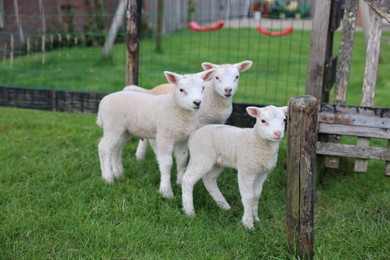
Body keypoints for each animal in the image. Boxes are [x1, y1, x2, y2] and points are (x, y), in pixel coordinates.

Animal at [96, 68, 215, 198]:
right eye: (181, 90)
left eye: (203, 88)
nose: (197, 102)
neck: (175, 107)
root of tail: (103, 101)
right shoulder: (164, 137)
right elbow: (167, 164)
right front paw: (166, 192)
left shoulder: (183, 139)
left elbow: (182, 160)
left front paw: (179, 183)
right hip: (112, 126)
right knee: (104, 148)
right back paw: (108, 178)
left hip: (124, 131)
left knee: (116, 148)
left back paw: (118, 173)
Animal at [125, 60, 253, 180]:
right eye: (217, 77)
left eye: (237, 76)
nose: (228, 90)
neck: (215, 100)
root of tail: (150, 90)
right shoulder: (198, 124)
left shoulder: (219, 123)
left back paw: (140, 157)